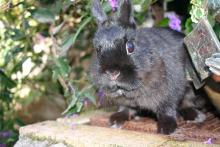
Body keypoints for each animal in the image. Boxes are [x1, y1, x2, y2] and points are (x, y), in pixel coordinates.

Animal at [89, 0, 203, 134]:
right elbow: (126, 108)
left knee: (188, 102)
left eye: (130, 47)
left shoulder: (170, 93)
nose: (112, 73)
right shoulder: (127, 102)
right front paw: (116, 120)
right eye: (98, 50)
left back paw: (195, 116)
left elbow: (167, 109)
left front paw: (166, 128)